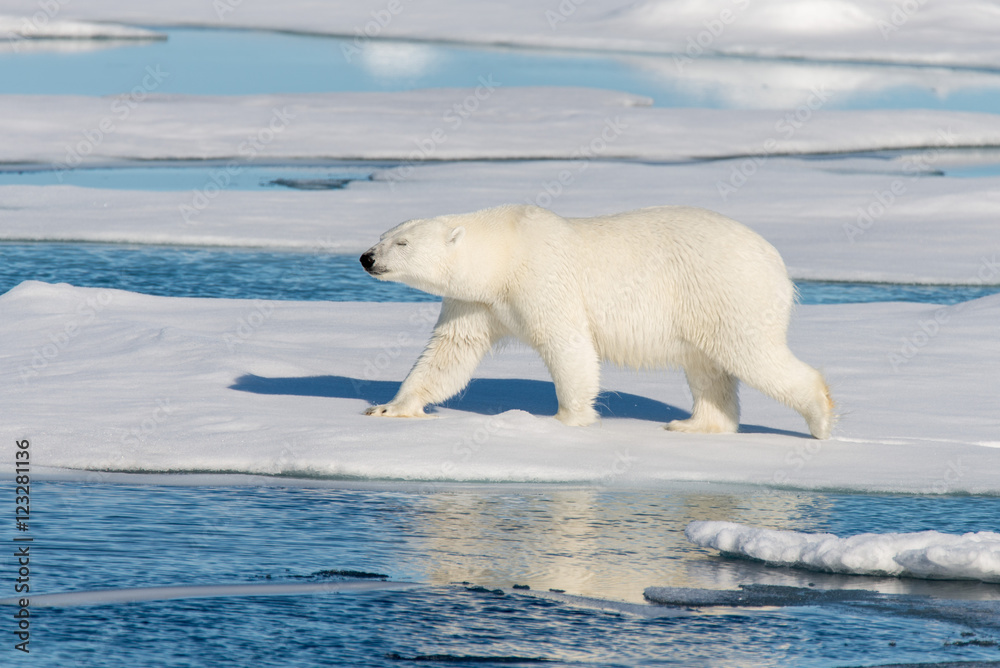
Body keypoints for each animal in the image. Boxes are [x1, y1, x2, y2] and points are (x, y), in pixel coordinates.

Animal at [359, 204, 833, 438]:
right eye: (382, 236)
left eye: (402, 243)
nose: (366, 258)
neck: (504, 250)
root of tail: (776, 263)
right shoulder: (476, 300)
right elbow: (451, 351)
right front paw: (389, 407)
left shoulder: (542, 277)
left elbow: (568, 344)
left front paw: (566, 420)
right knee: (707, 369)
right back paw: (695, 424)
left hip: (727, 290)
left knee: (751, 354)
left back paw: (821, 418)